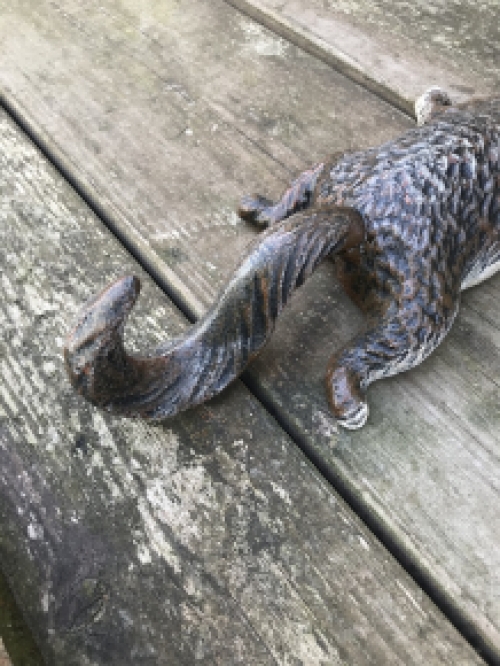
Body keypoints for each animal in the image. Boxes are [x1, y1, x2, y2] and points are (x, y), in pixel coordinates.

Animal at [64, 89, 500, 430]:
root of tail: (358, 211)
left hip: (333, 166)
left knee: (298, 187)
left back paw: (260, 209)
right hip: (423, 293)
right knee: (379, 344)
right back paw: (349, 399)